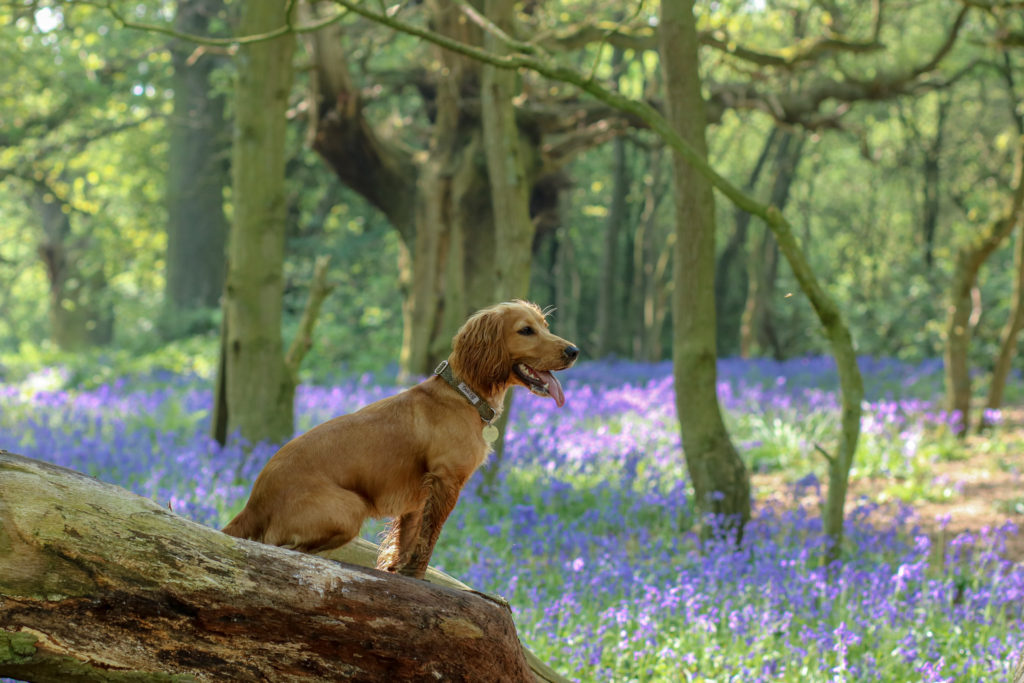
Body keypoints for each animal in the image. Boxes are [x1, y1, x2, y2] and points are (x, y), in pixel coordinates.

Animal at [222, 301, 577, 581]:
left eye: (545, 327)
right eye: (525, 330)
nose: (573, 351)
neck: (464, 395)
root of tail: (253, 502)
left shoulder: (418, 496)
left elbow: (408, 538)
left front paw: (399, 571)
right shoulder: (446, 480)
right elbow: (428, 538)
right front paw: (416, 575)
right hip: (349, 508)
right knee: (279, 548)